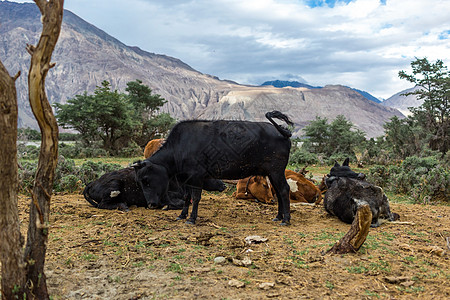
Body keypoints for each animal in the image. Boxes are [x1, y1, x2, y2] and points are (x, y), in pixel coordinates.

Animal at [132, 110, 294, 225]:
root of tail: (282, 132)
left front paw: (192, 219)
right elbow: (187, 197)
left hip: (276, 171)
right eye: (139, 181)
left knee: (284, 190)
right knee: (278, 191)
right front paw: (182, 215)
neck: (180, 146)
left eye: (146, 179)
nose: (151, 204)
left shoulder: (196, 176)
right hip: (272, 173)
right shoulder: (186, 178)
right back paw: (278, 216)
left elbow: (196, 197)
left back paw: (286, 219)